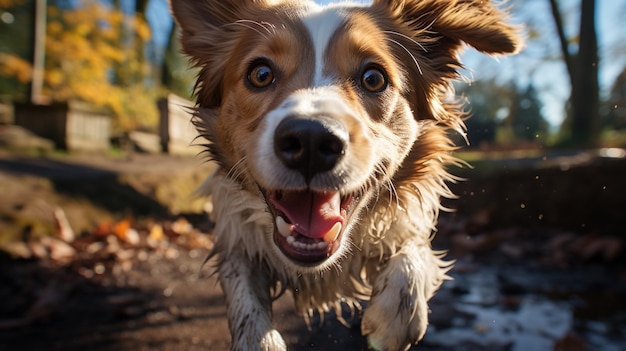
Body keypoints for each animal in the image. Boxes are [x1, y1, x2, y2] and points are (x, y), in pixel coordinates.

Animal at [168, 1, 520, 350]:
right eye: (261, 74)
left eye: (374, 78)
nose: (310, 141)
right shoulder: (236, 241)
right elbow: (245, 299)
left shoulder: (408, 224)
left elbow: (413, 254)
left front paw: (394, 317)